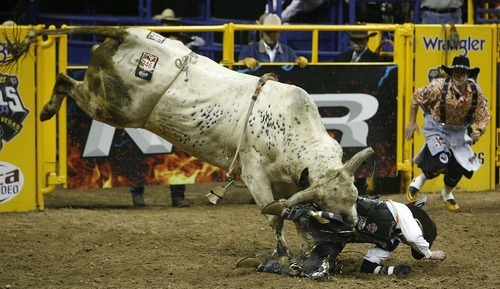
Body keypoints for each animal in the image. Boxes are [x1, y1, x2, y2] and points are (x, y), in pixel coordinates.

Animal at [2, 26, 372, 254]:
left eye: (355, 197)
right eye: (332, 207)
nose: (355, 227)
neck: (292, 132)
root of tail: (127, 35)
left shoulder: (288, 185)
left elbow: (294, 215)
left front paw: (307, 248)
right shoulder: (255, 176)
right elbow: (274, 216)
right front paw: (284, 255)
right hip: (113, 106)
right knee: (64, 80)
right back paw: (48, 109)